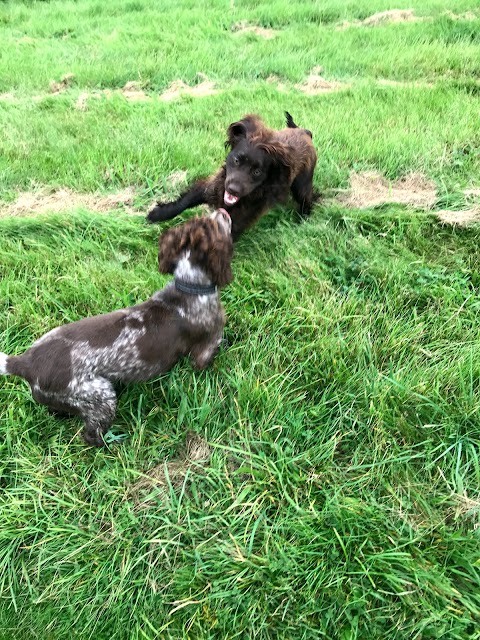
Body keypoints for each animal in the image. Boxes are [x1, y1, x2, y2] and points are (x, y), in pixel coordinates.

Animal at [0, 210, 232, 444]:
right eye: (213, 225)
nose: (222, 211)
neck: (189, 285)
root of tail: (24, 363)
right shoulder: (208, 342)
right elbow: (206, 358)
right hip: (100, 396)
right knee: (91, 435)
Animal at [148, 111, 316, 241]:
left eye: (257, 171)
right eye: (236, 160)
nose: (233, 189)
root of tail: (304, 132)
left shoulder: (240, 219)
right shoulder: (213, 187)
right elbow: (184, 201)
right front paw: (157, 214)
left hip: (302, 184)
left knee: (307, 199)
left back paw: (302, 221)